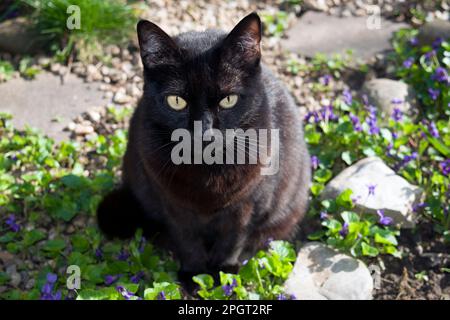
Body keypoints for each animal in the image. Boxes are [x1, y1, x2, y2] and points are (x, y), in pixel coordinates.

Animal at [97, 12, 312, 286]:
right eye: (177, 101)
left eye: (228, 100)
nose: (204, 130)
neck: (207, 170)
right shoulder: (172, 204)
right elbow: (187, 239)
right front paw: (195, 275)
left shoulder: (247, 205)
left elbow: (233, 239)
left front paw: (223, 274)